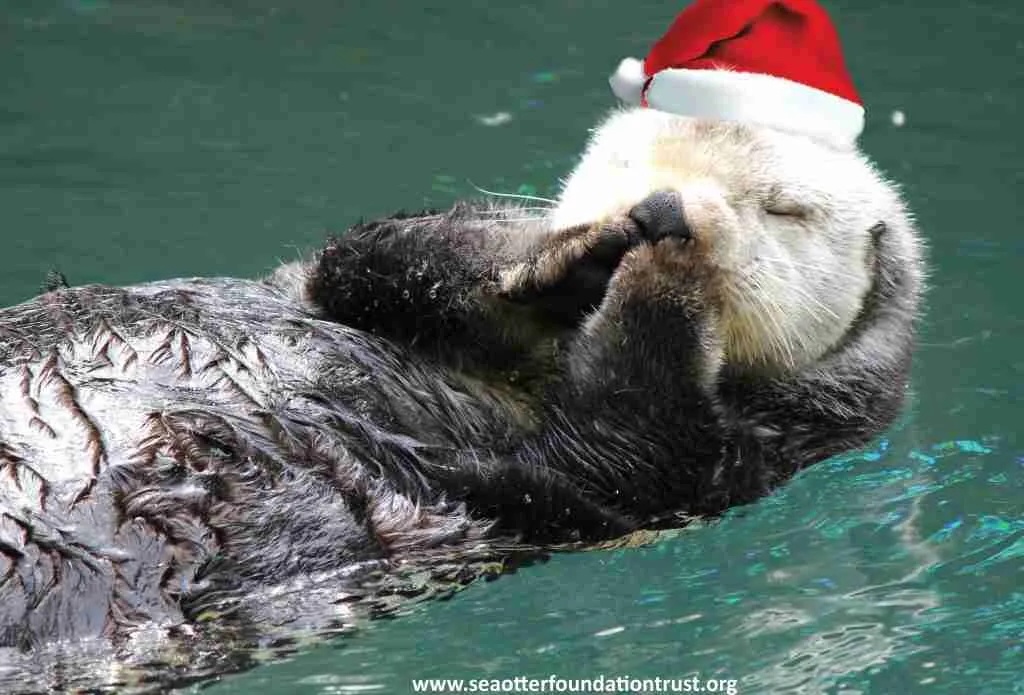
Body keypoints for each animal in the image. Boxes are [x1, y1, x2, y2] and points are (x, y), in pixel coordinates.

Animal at [0, 110, 923, 686]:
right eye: (626, 162)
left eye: (786, 210)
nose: (665, 209)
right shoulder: (318, 284)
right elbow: (380, 256)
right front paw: (568, 253)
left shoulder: (724, 461)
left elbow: (636, 441)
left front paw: (665, 278)